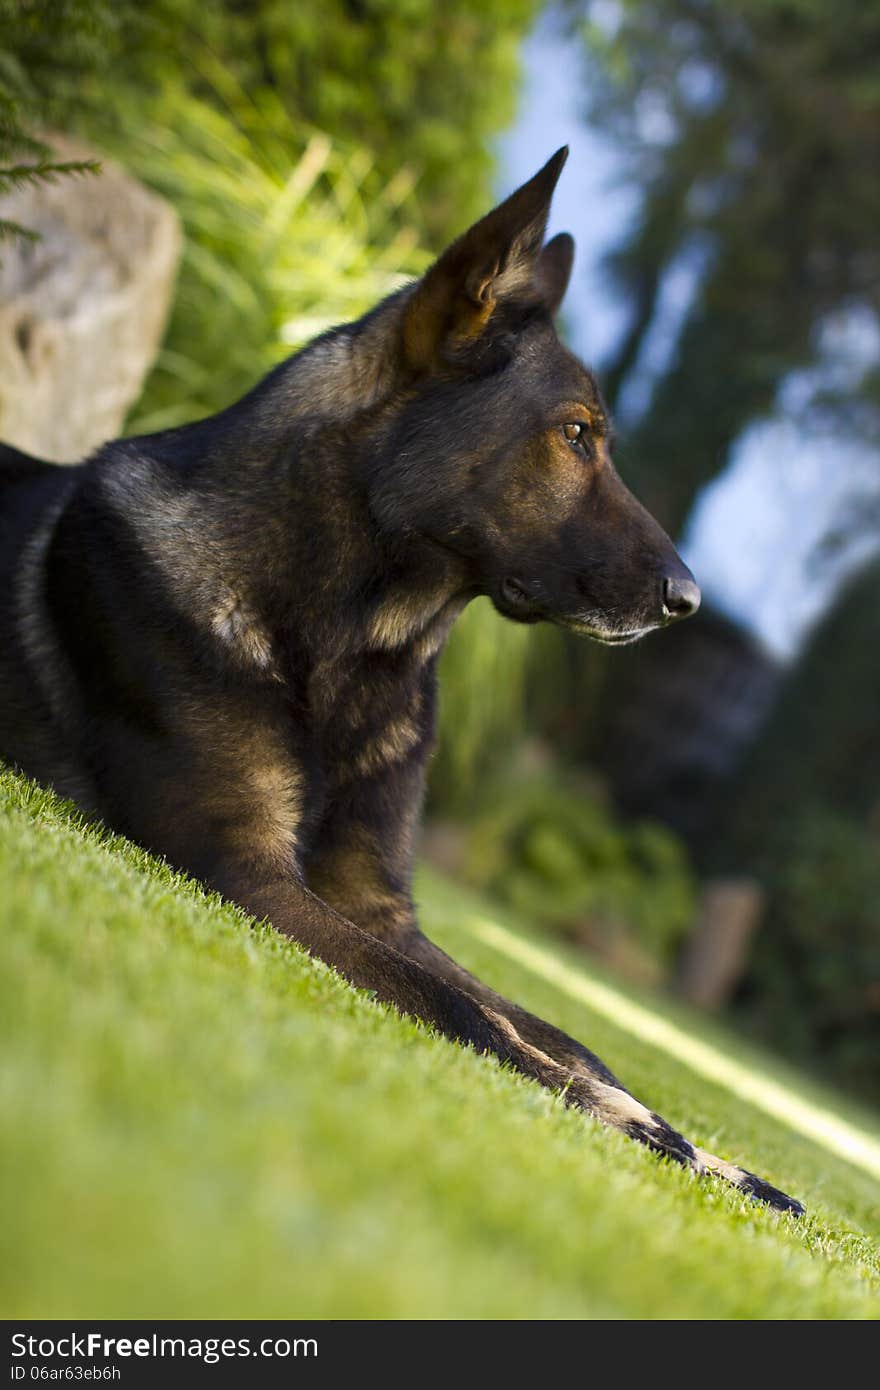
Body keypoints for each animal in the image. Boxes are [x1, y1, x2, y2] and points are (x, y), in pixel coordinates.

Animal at [0, 152, 800, 1212]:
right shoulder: (241, 868)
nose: (690, 600)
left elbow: (565, 1034)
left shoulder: (380, 906)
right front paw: (633, 1127)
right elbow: (467, 1017)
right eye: (575, 433)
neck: (350, 646)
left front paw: (708, 1152)